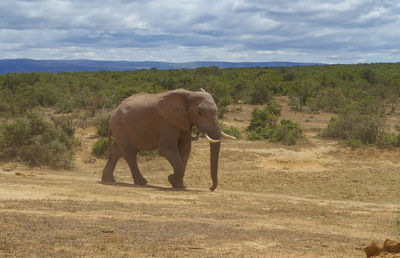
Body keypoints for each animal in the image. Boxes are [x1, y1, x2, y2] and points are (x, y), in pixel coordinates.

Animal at [101, 87, 236, 190]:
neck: (189, 94)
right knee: (129, 153)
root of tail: (112, 114)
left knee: (116, 151)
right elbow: (167, 149)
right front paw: (171, 179)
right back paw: (142, 182)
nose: (210, 188)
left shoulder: (184, 121)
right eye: (199, 112)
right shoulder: (167, 122)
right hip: (121, 126)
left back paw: (109, 180)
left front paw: (180, 185)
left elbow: (185, 149)